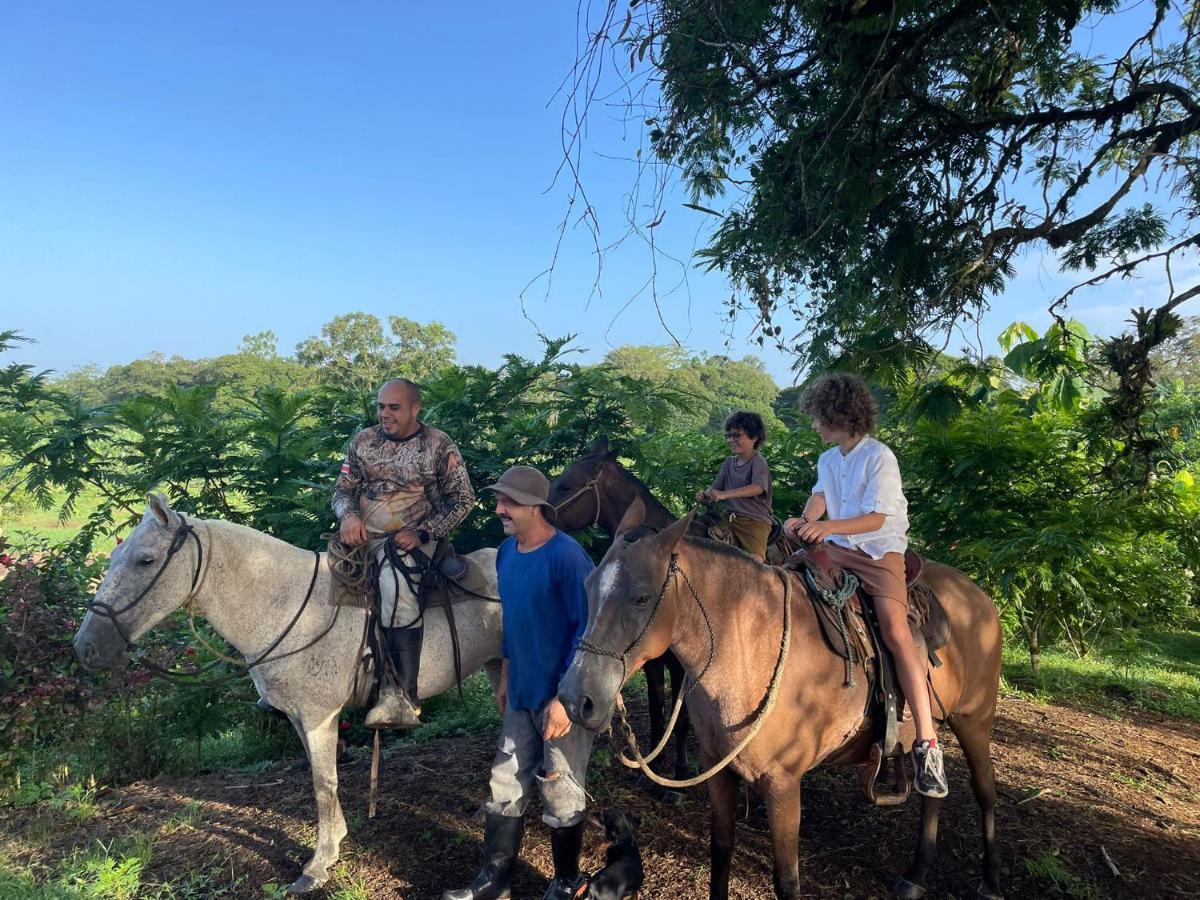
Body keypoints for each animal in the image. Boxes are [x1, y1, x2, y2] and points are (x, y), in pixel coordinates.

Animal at [71, 494, 501, 897]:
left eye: (145, 560)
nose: (86, 648)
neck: (288, 606)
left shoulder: (319, 717)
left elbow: (324, 784)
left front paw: (318, 865)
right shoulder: (299, 718)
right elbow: (319, 779)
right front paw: (334, 843)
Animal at [559, 501, 1003, 900]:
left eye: (641, 597)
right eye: (588, 587)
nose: (575, 698)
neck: (751, 647)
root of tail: (975, 594)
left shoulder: (783, 786)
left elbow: (787, 881)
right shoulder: (719, 773)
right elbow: (720, 852)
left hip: (974, 721)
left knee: (984, 790)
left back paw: (990, 881)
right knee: (933, 799)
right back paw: (916, 874)